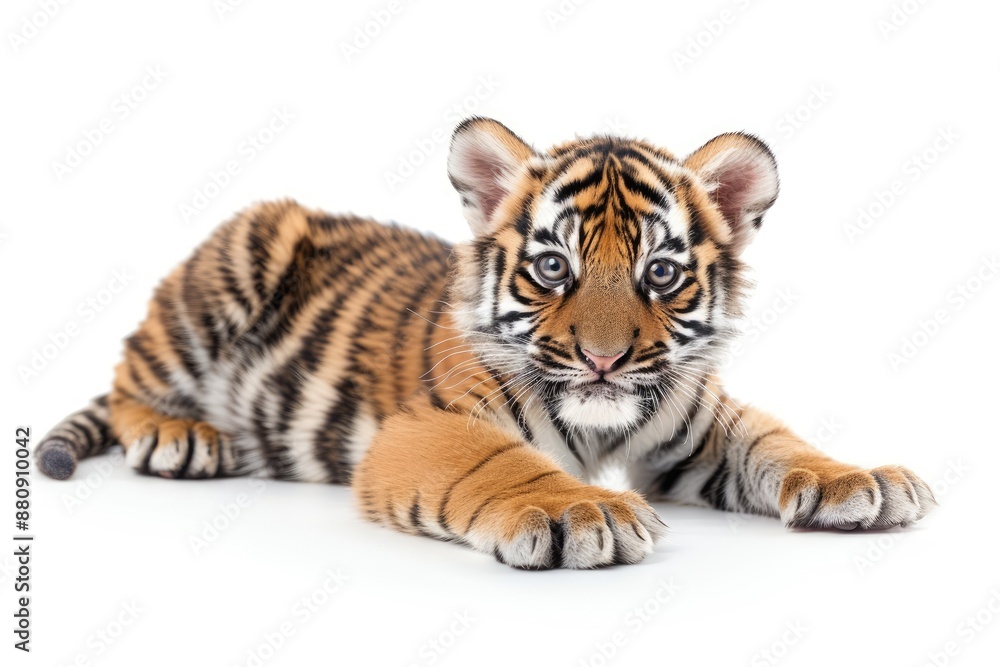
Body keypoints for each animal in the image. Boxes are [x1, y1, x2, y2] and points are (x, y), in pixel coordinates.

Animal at [36, 117, 935, 569]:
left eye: (661, 272)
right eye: (552, 265)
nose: (604, 360)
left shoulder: (696, 422)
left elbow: (775, 440)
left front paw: (858, 479)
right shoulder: (429, 424)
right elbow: (502, 462)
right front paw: (579, 509)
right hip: (234, 260)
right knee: (130, 372)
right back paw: (178, 434)